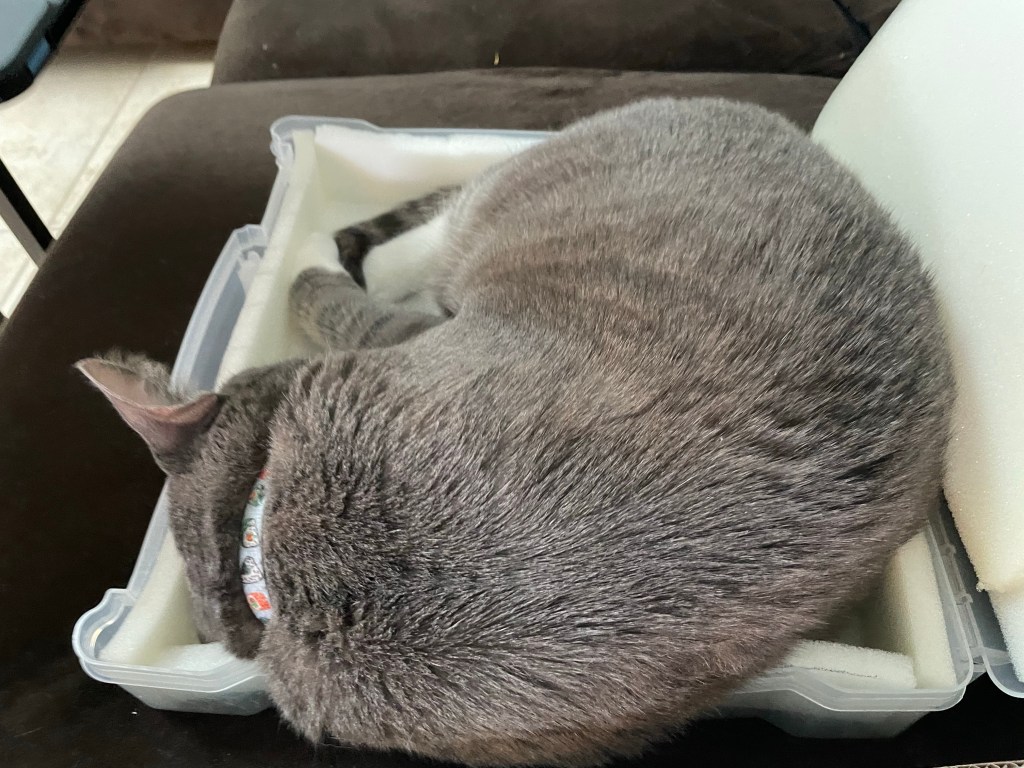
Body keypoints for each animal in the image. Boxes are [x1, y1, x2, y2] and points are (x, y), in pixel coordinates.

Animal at [77, 98, 953, 766]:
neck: (281, 558)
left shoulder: (388, 342)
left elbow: (323, 294)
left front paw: (306, 274)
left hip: (486, 212)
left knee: (413, 236)